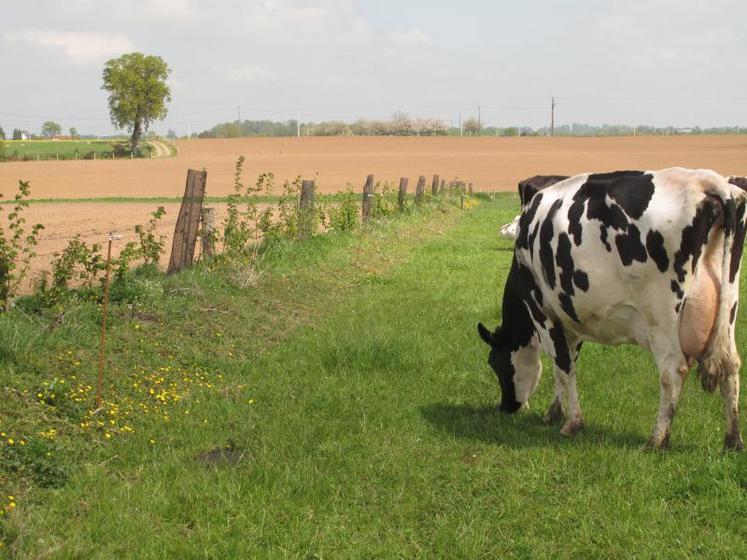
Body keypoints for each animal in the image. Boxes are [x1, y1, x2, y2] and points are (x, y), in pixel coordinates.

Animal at [480, 167, 747, 450]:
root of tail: (708, 181)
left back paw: (657, 439)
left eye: (494, 362)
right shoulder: (569, 315)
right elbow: (564, 364)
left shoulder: (542, 310)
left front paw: (572, 423)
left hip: (662, 319)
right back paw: (733, 440)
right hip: (728, 305)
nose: (506, 407)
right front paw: (555, 412)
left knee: (673, 370)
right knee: (731, 365)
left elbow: (562, 365)